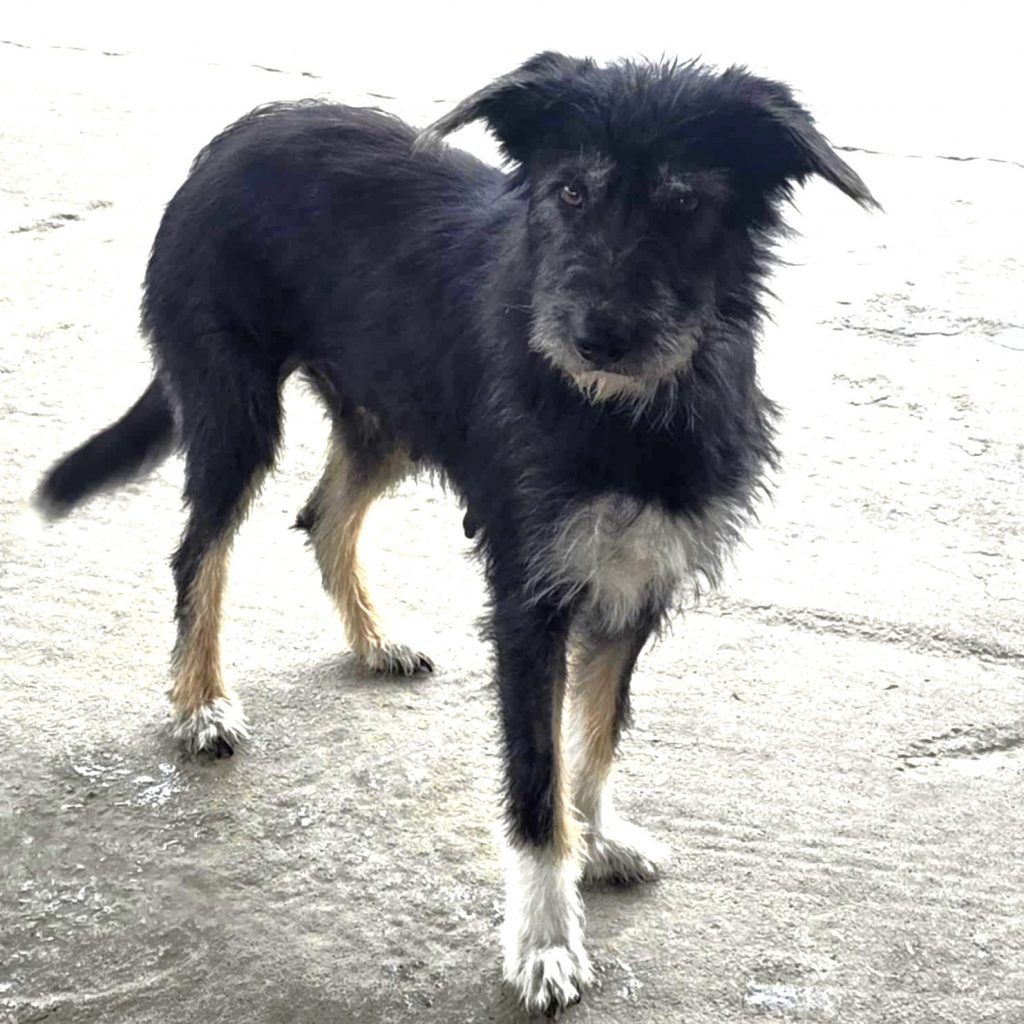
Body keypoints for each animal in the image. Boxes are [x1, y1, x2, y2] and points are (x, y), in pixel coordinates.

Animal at [37, 52, 876, 1016]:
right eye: (570, 191)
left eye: (683, 203)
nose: (597, 338)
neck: (624, 414)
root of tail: (241, 133)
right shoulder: (528, 602)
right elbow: (537, 783)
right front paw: (546, 943)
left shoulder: (636, 580)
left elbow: (596, 737)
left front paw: (598, 836)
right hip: (234, 408)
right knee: (198, 553)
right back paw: (201, 702)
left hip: (388, 412)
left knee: (325, 516)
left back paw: (374, 641)